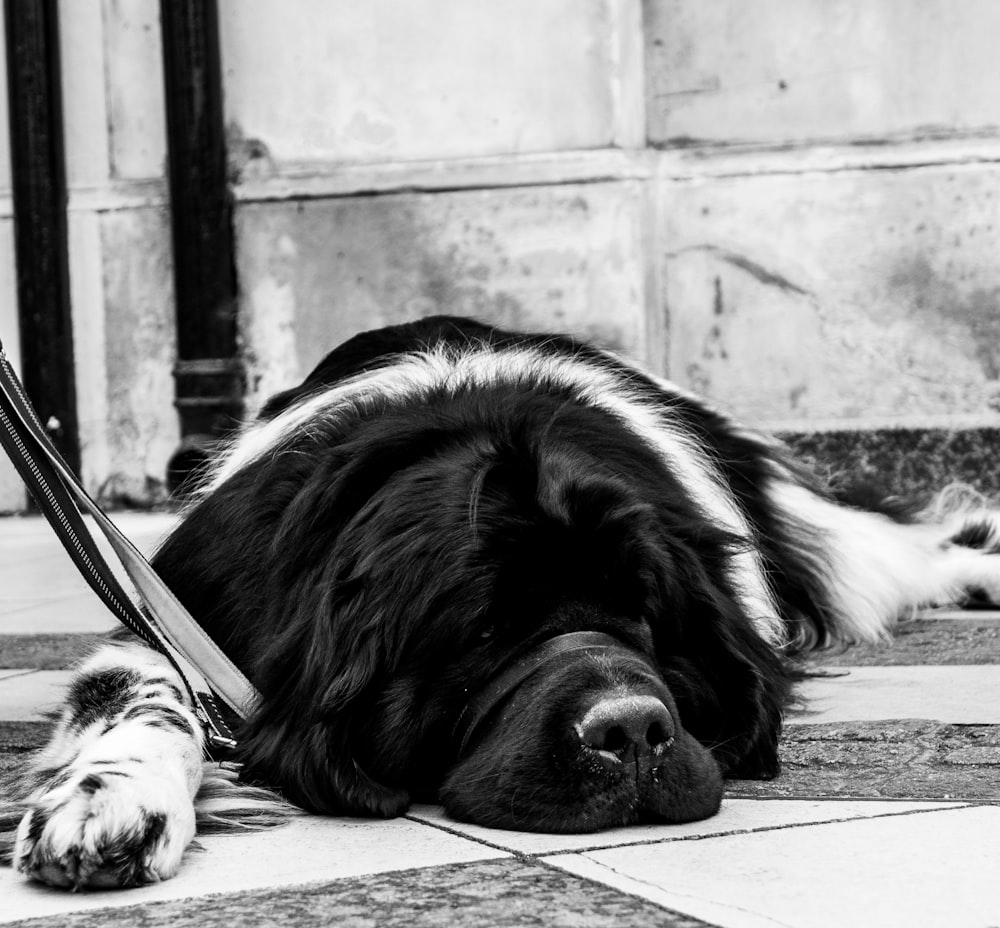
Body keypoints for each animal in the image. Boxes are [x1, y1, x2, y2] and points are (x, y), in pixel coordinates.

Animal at [7, 316, 1000, 888]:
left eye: (642, 618)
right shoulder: (181, 611)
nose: (632, 731)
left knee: (907, 544)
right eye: (484, 631)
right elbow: (142, 697)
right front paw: (110, 799)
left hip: (830, 546)